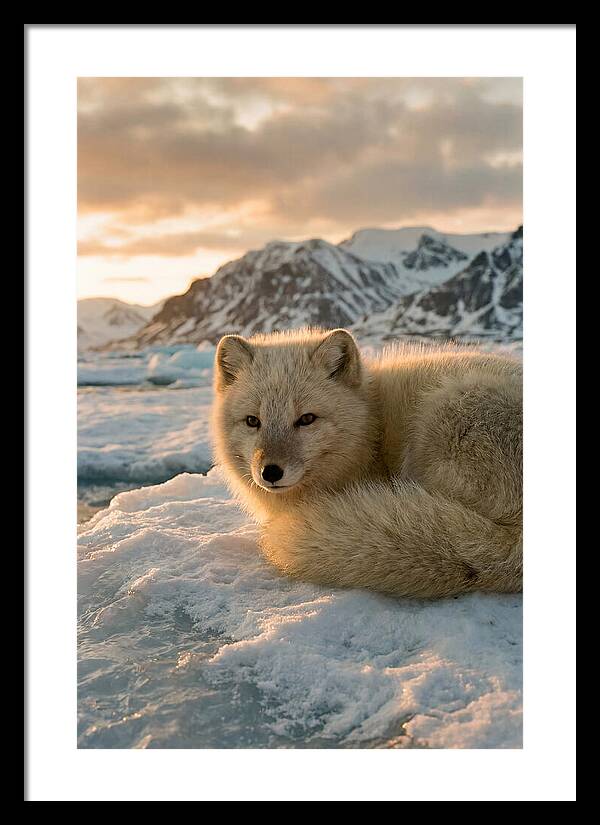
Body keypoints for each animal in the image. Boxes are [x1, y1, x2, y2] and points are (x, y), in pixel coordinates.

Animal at [212, 328, 522, 599]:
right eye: (253, 421)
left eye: (307, 419)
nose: (270, 472)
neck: (371, 426)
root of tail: (514, 546)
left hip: (443, 414)